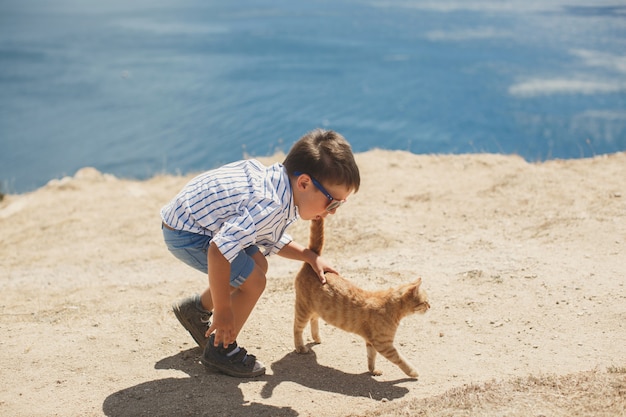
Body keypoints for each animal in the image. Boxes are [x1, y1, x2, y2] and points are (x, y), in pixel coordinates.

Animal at [292, 218, 428, 376]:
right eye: (425, 302)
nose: (430, 306)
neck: (391, 306)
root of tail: (312, 262)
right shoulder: (384, 345)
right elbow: (400, 359)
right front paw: (413, 372)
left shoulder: (371, 342)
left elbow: (371, 357)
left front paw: (373, 370)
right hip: (303, 309)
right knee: (297, 327)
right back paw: (300, 347)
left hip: (315, 309)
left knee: (314, 319)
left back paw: (317, 338)